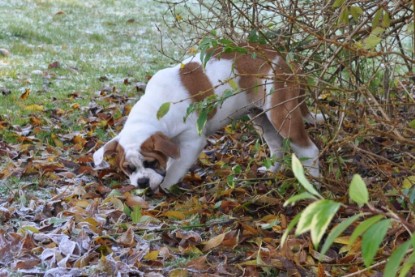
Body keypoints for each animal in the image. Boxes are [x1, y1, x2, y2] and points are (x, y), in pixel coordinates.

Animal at [94, 43, 324, 191]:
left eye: (150, 162)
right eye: (128, 169)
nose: (141, 182)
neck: (155, 111)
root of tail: (285, 61)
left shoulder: (191, 143)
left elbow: (174, 167)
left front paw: (165, 186)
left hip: (281, 114)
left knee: (309, 150)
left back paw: (313, 183)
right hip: (261, 117)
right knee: (276, 145)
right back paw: (271, 170)